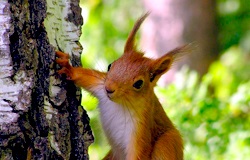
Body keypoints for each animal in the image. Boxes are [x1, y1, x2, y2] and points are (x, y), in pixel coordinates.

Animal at [55, 13, 190, 159]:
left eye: (139, 83)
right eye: (110, 65)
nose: (109, 89)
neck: (120, 104)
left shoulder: (141, 130)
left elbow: (138, 154)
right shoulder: (100, 86)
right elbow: (86, 77)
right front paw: (68, 68)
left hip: (168, 142)